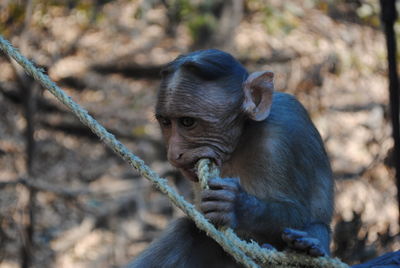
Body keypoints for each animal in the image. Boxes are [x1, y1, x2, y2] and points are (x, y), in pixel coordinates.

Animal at [127, 49, 332, 266]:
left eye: (187, 122)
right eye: (166, 122)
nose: (174, 153)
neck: (242, 137)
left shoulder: (283, 136)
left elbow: (301, 215)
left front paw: (239, 206)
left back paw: (304, 248)